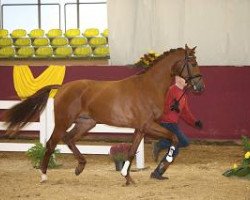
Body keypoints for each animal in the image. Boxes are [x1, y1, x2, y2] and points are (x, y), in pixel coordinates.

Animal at [3, 44, 205, 185]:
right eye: (193, 63)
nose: (200, 87)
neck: (148, 86)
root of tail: (62, 87)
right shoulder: (148, 125)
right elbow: (174, 138)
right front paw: (167, 160)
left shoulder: (140, 129)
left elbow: (131, 151)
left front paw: (127, 178)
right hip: (63, 122)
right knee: (51, 143)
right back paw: (44, 175)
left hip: (86, 123)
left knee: (69, 138)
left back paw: (80, 167)